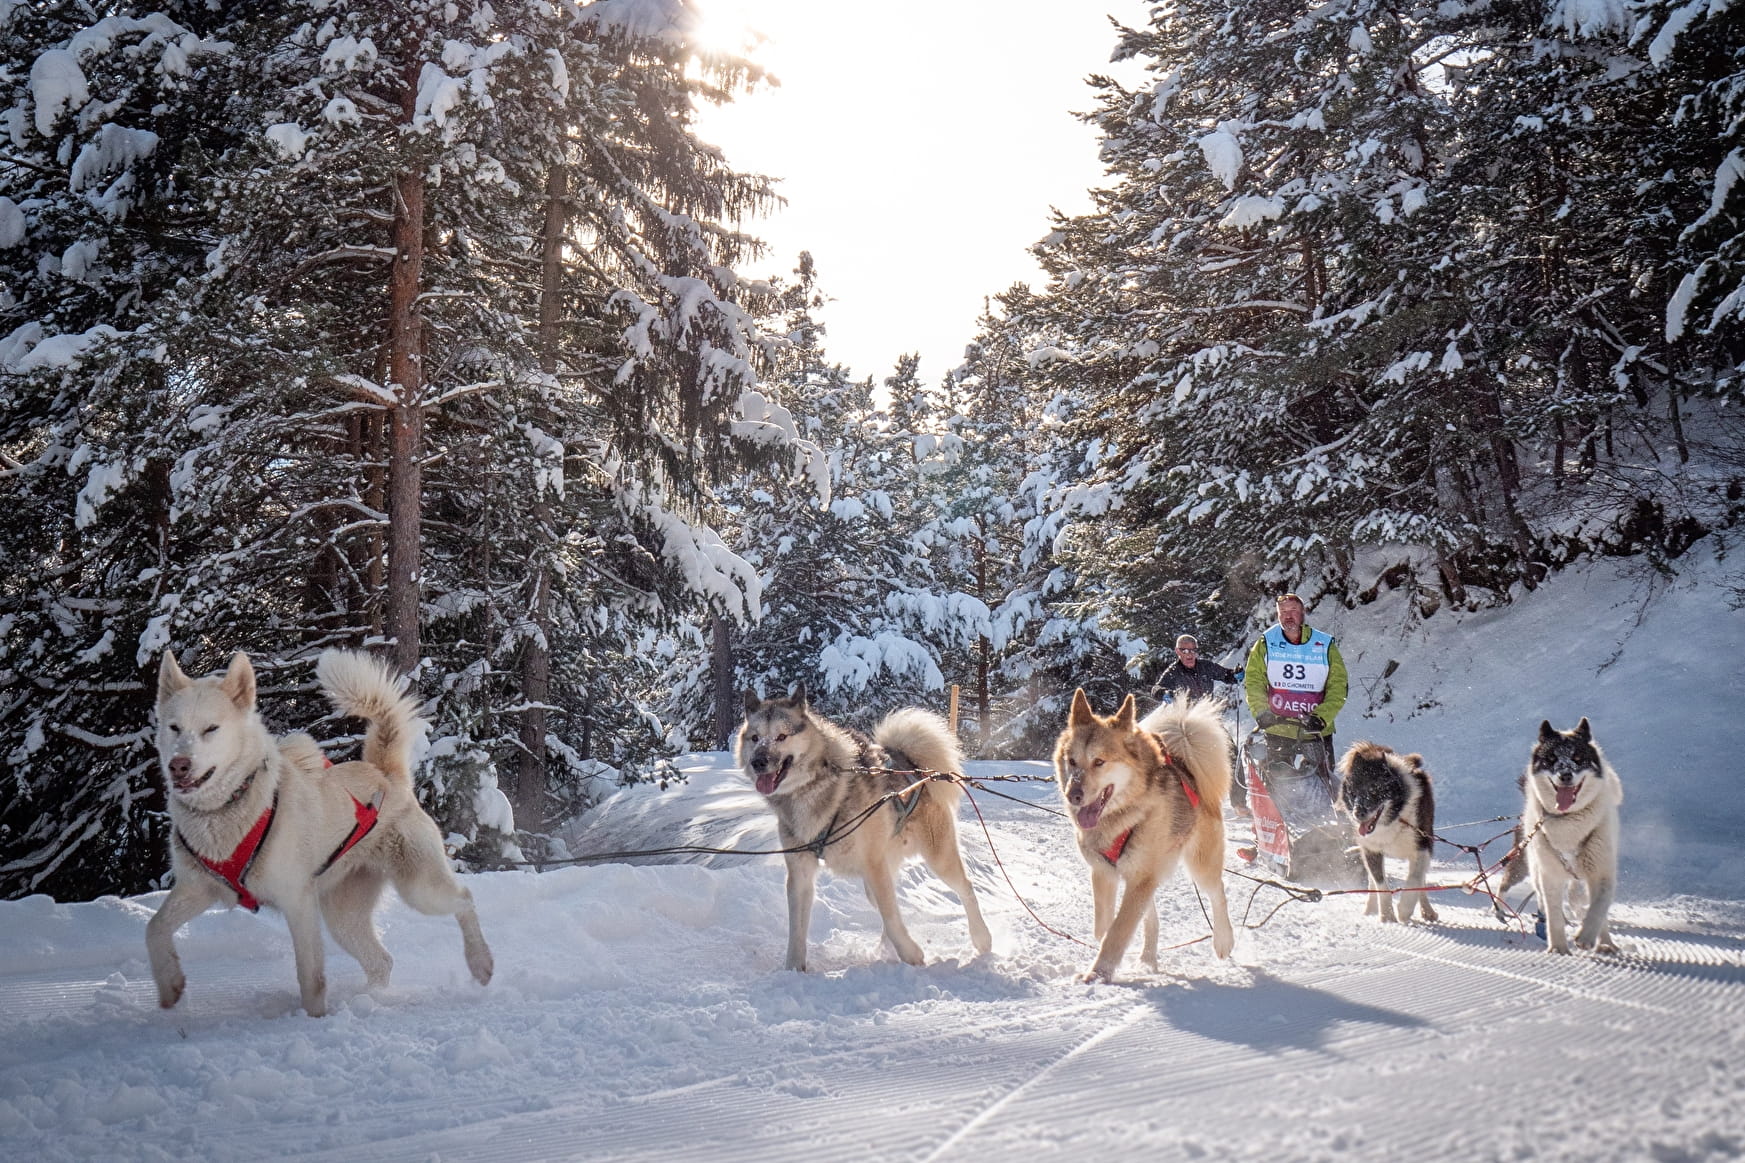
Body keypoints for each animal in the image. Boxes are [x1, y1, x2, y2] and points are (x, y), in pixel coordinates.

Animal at [150, 646, 495, 1012]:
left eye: (211, 728)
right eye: (174, 727)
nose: (178, 765)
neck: (227, 808)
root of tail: (386, 775)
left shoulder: (298, 901)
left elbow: (311, 976)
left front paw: (314, 1016)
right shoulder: (196, 889)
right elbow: (154, 928)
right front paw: (169, 984)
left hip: (419, 889)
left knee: (465, 900)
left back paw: (480, 962)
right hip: (344, 918)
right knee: (382, 961)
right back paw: (370, 998)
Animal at [729, 684, 991, 963]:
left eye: (781, 736)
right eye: (755, 738)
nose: (758, 762)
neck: (813, 788)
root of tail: (916, 767)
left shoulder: (873, 866)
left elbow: (891, 916)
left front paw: (911, 954)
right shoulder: (800, 873)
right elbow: (797, 934)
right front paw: (794, 967)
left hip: (936, 858)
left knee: (965, 889)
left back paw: (981, 937)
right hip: (879, 875)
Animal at [1053, 688, 1235, 977]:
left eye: (1099, 761)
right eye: (1072, 761)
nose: (1074, 795)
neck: (1122, 816)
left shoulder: (1139, 878)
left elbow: (1117, 931)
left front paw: (1097, 974)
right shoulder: (1105, 873)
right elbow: (1104, 927)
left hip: (1198, 863)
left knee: (1218, 894)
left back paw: (1223, 941)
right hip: (1141, 873)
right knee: (1152, 918)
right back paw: (1148, 958)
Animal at [1340, 736, 1437, 922]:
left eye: (1374, 791)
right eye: (1353, 793)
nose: (1358, 813)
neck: (1394, 821)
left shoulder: (1422, 846)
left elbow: (1415, 879)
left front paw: (1404, 909)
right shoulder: (1371, 850)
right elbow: (1380, 884)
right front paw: (1386, 915)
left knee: (1421, 880)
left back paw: (1427, 910)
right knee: (1372, 882)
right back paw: (1370, 908)